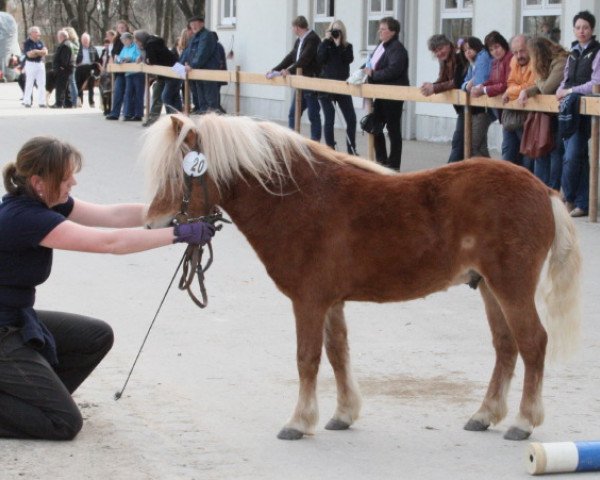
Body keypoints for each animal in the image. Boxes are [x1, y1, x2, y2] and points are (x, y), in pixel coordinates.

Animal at [144, 113, 580, 442]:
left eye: (178, 175)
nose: (152, 225)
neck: (299, 199)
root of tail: (544, 189)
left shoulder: (308, 302)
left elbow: (307, 359)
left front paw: (298, 421)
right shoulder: (331, 302)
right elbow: (338, 353)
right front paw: (343, 413)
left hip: (511, 288)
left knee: (532, 343)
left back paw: (523, 422)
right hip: (489, 287)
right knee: (506, 347)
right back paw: (485, 415)